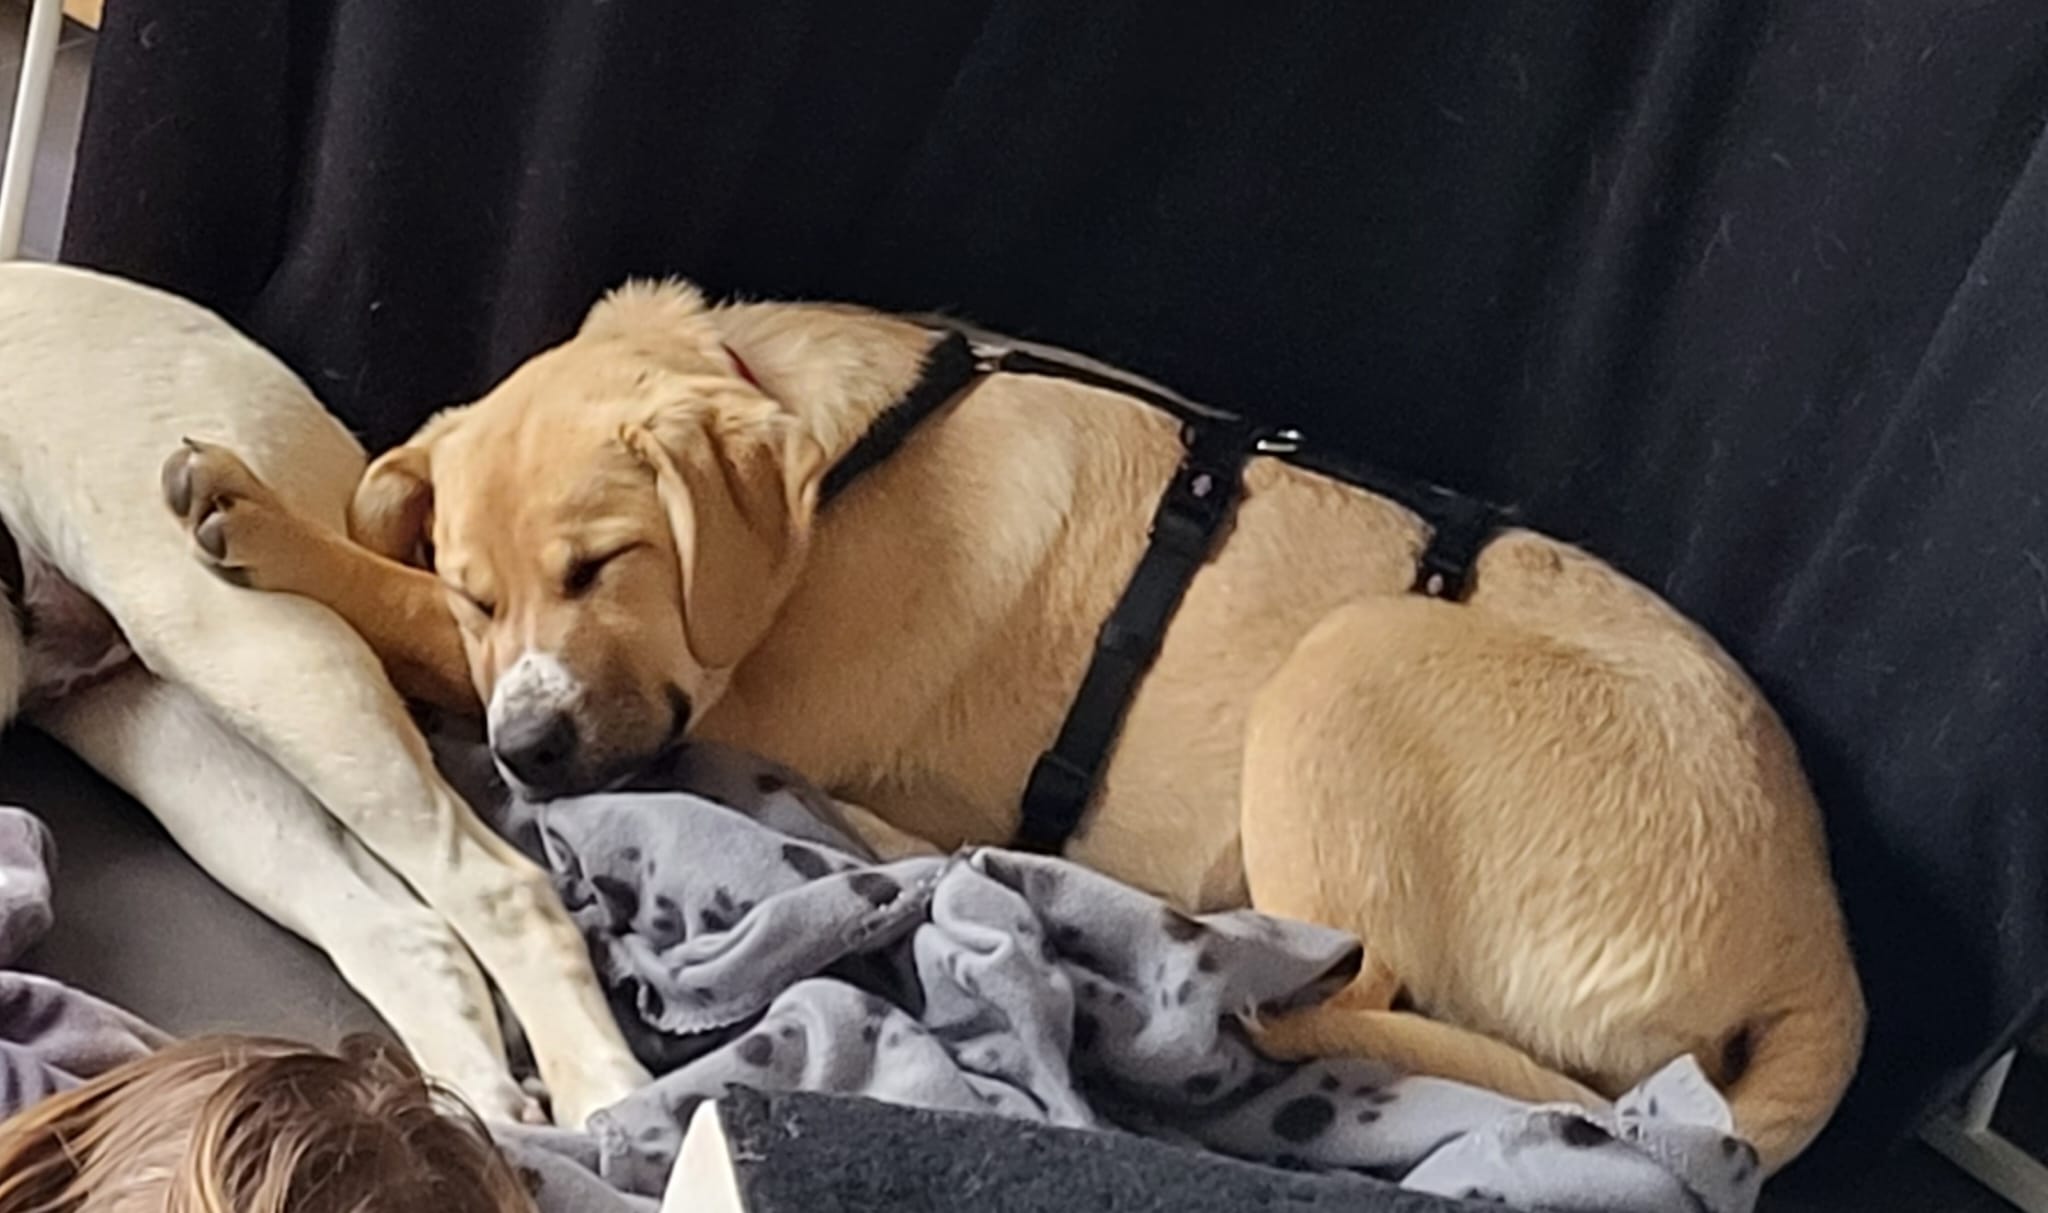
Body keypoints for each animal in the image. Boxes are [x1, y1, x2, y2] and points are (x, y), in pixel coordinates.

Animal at [0, 263, 647, 1127]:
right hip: (185, 747)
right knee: (403, 929)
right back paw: (476, 1107)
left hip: (241, 639)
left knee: (499, 886)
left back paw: (605, 1097)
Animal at [170, 278, 1865, 1172]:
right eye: (486, 594)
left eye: (606, 567)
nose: (526, 761)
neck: (841, 471)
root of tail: (1820, 949)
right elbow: (407, 536)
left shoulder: (727, 690)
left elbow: (377, 594)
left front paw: (265, 521)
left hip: (1358, 662)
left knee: (1329, 981)